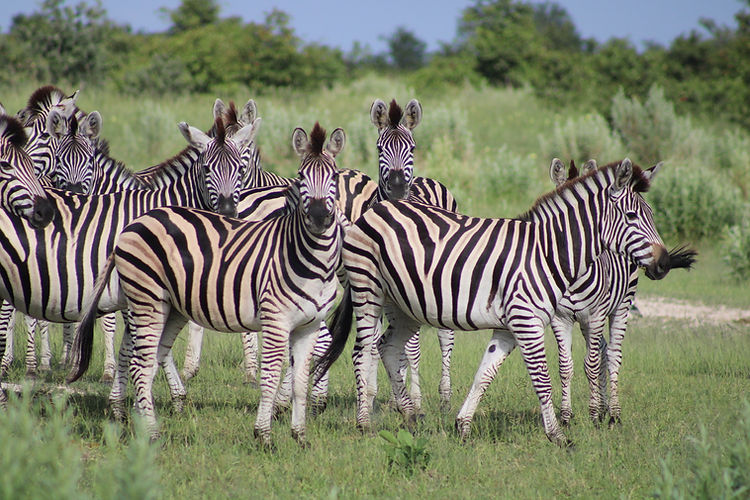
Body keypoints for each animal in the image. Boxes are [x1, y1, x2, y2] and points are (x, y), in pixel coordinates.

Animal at [68, 123, 347, 447]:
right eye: (301, 177)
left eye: (334, 177)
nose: (319, 218)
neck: (308, 257)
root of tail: (132, 225)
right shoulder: (276, 322)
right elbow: (270, 377)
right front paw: (264, 436)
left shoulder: (308, 327)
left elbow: (301, 381)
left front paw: (300, 438)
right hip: (147, 301)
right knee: (140, 365)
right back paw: (151, 434)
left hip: (169, 307)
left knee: (151, 360)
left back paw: (142, 424)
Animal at [316, 158, 673, 446]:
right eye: (631, 215)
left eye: (651, 215)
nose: (665, 263)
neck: (547, 252)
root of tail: (375, 210)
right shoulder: (527, 321)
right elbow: (542, 378)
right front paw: (558, 436)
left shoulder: (509, 327)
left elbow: (484, 374)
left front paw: (462, 426)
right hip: (368, 290)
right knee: (363, 351)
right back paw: (364, 424)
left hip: (403, 305)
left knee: (387, 348)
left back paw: (411, 417)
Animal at [548, 158, 697, 426]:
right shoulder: (560, 318)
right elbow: (566, 366)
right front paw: (566, 417)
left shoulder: (596, 314)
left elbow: (591, 365)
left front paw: (593, 416)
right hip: (587, 320)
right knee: (603, 351)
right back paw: (604, 407)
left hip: (621, 307)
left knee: (613, 355)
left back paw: (613, 414)